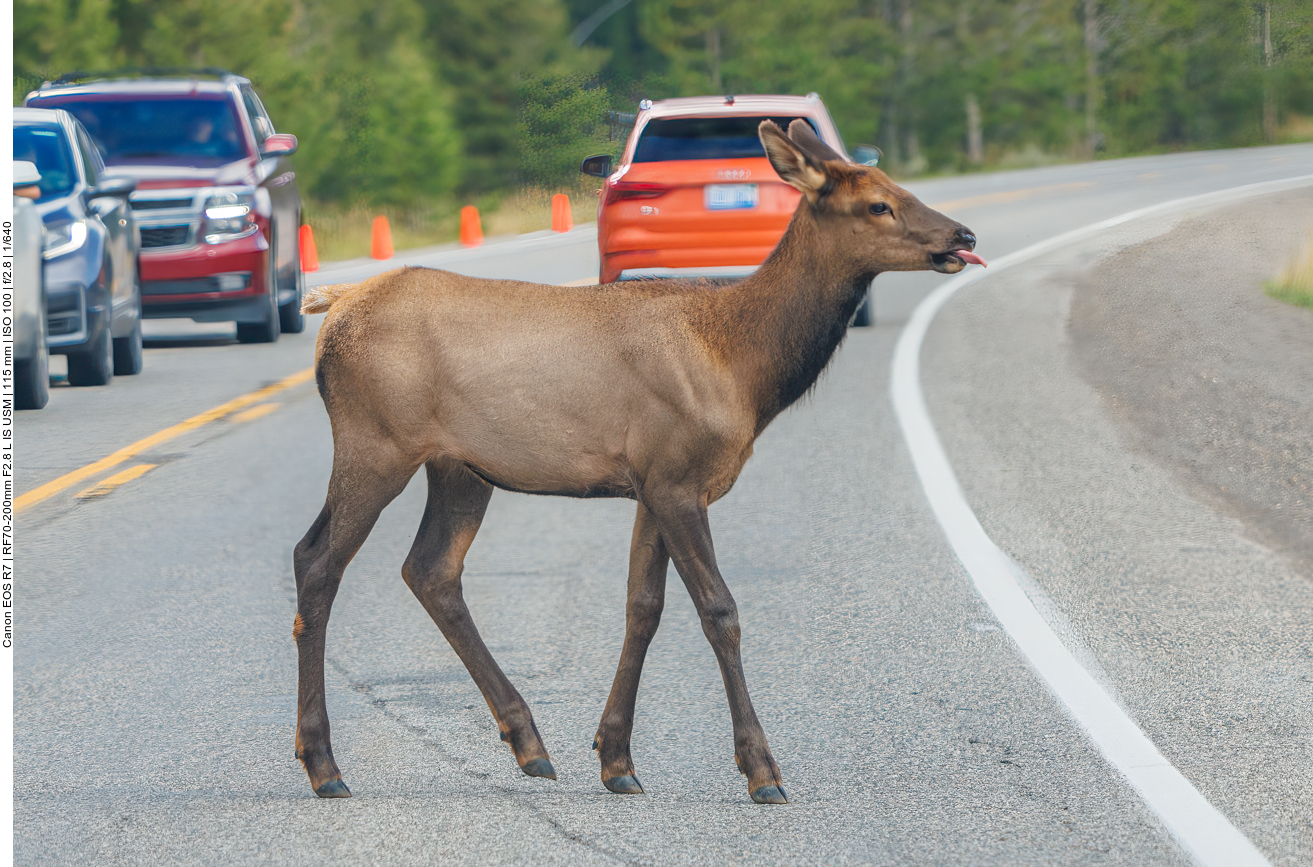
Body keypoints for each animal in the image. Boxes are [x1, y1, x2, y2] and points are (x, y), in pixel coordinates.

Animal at [290, 120, 987, 803]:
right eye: (878, 204)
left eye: (897, 185)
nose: (964, 235)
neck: (744, 368)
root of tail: (334, 307)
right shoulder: (677, 479)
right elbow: (719, 611)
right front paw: (762, 769)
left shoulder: (654, 481)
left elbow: (643, 608)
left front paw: (616, 758)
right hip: (376, 442)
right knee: (317, 560)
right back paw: (323, 764)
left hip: (457, 467)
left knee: (430, 569)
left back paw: (529, 744)